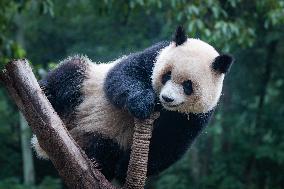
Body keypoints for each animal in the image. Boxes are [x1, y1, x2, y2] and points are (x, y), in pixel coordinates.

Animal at [32, 25, 234, 182]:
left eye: (188, 86)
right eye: (167, 75)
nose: (167, 98)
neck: (164, 109)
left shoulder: (195, 116)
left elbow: (169, 142)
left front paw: (123, 169)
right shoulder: (155, 54)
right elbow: (123, 75)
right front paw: (143, 102)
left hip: (101, 134)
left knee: (106, 146)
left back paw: (99, 163)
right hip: (85, 85)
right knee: (71, 72)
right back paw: (47, 93)